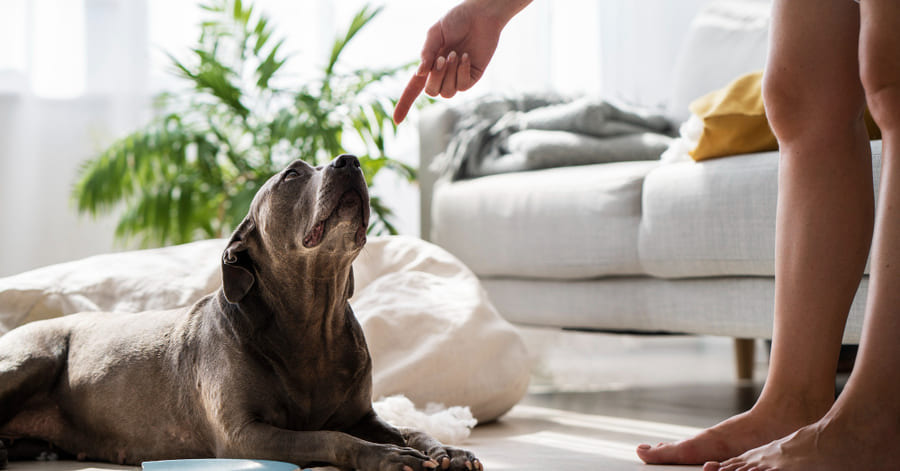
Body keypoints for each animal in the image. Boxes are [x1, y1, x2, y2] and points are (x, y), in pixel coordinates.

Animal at [0, 156, 482, 471]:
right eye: (293, 173)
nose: (350, 161)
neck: (312, 321)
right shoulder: (244, 435)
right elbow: (329, 435)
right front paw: (384, 456)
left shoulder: (363, 414)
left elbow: (410, 428)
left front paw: (447, 450)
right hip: (33, 358)